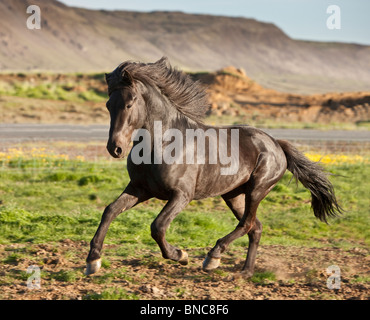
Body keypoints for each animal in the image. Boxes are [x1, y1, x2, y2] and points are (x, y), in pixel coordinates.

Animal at [85, 57, 342, 278]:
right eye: (108, 104)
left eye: (129, 103)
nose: (115, 148)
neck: (165, 143)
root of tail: (276, 143)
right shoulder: (140, 189)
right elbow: (109, 210)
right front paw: (93, 261)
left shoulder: (181, 195)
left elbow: (157, 226)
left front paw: (181, 255)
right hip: (233, 195)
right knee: (255, 227)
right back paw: (244, 272)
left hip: (257, 190)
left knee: (247, 223)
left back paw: (213, 258)